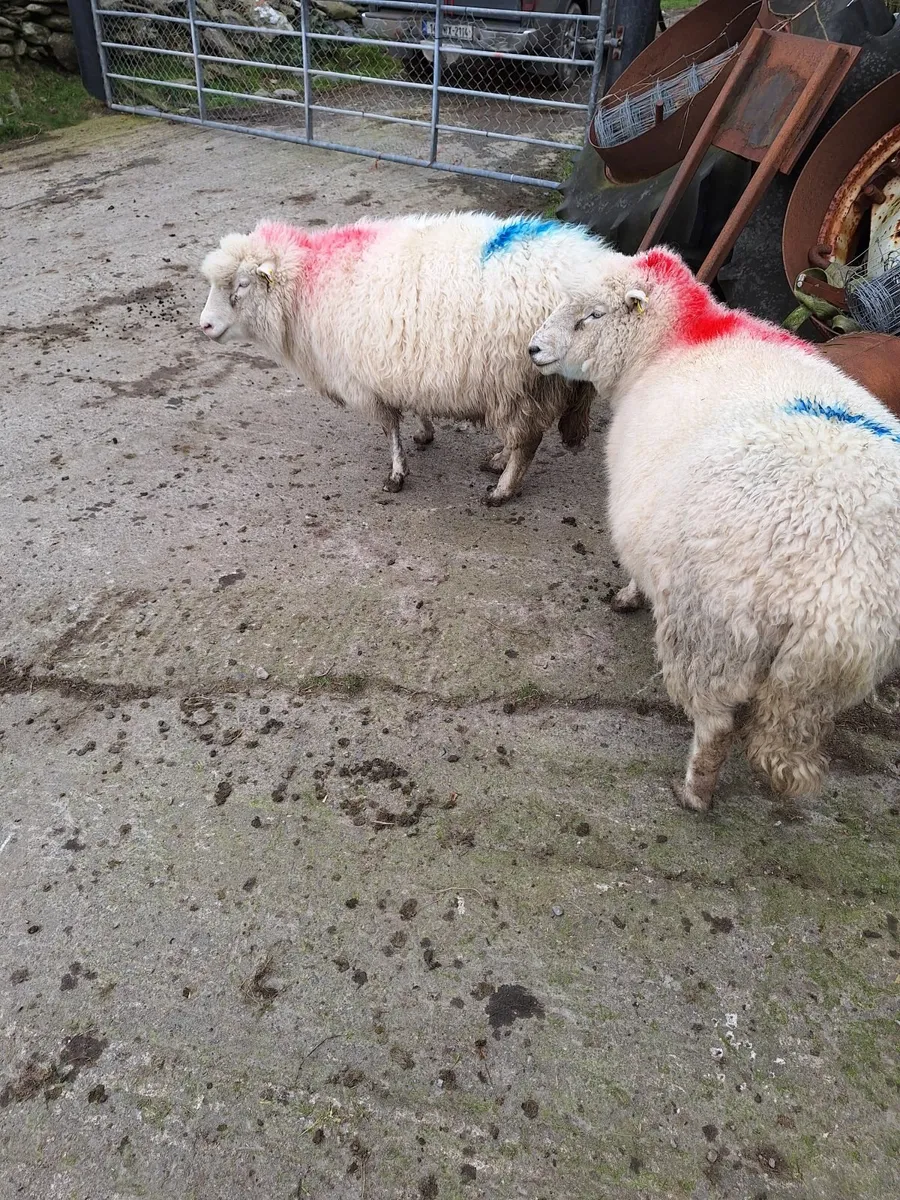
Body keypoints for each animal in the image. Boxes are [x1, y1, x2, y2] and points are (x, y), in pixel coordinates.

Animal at [199, 213, 613, 504]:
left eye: (241, 285)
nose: (204, 325)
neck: (310, 283)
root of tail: (597, 260)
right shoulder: (402, 364)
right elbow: (413, 408)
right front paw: (425, 432)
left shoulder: (364, 382)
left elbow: (389, 430)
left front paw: (397, 475)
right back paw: (497, 460)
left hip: (524, 381)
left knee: (527, 441)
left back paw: (502, 489)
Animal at [528, 246, 900, 811]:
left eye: (592, 315)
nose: (533, 349)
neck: (675, 340)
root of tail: (837, 600)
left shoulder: (639, 507)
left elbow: (634, 561)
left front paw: (628, 595)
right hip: (822, 676)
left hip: (714, 631)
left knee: (716, 724)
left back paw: (694, 792)